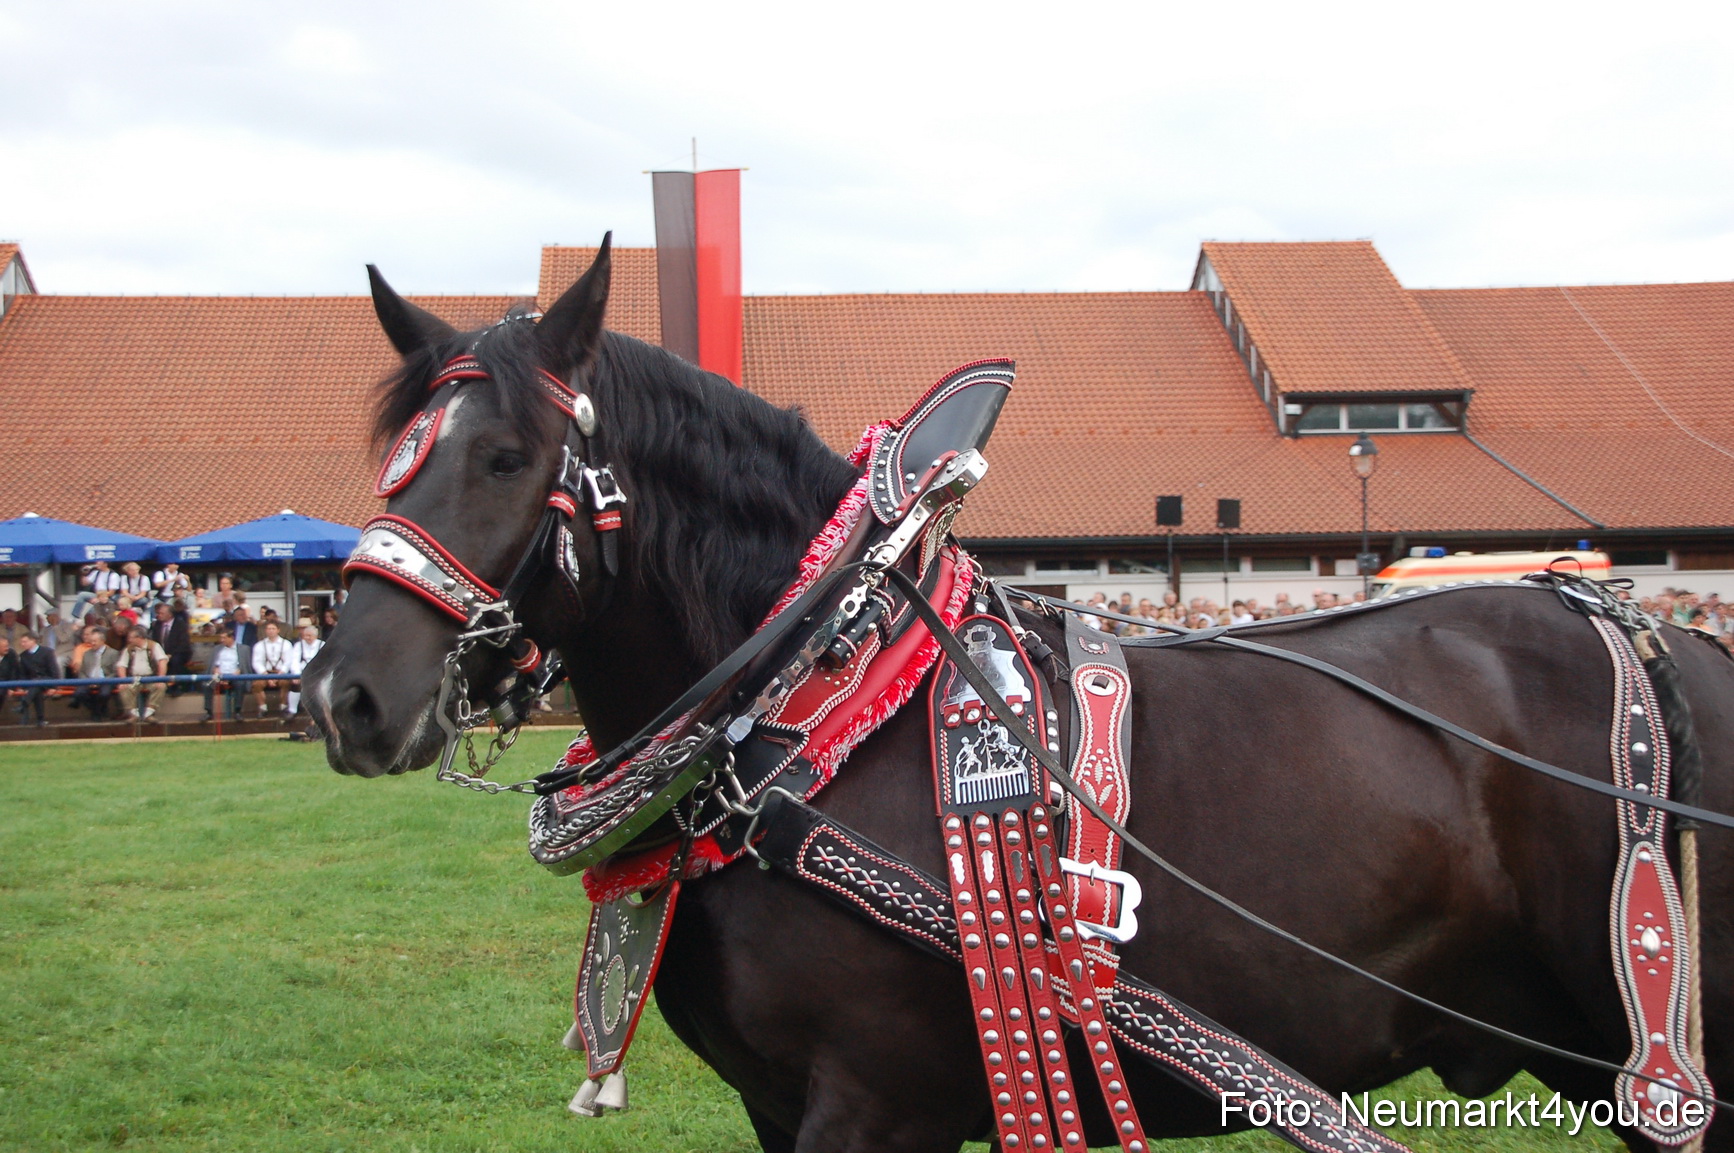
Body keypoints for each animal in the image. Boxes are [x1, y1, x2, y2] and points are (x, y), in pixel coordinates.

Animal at [304, 243, 1734, 1152]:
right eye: (394, 462)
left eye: (506, 457)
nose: (341, 695)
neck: (820, 715)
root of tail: (1674, 648)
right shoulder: (779, 1107)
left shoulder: (874, 1108)